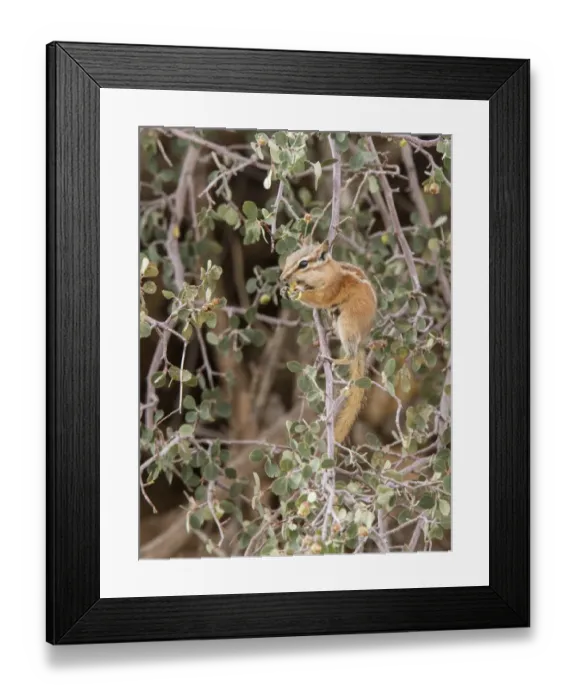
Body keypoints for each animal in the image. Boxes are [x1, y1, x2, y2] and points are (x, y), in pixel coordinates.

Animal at [280, 238, 377, 444]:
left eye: (303, 264)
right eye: (289, 258)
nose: (282, 278)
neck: (331, 272)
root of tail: (363, 341)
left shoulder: (329, 291)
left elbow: (318, 299)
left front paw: (297, 293)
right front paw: (286, 289)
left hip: (347, 324)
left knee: (351, 355)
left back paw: (332, 359)